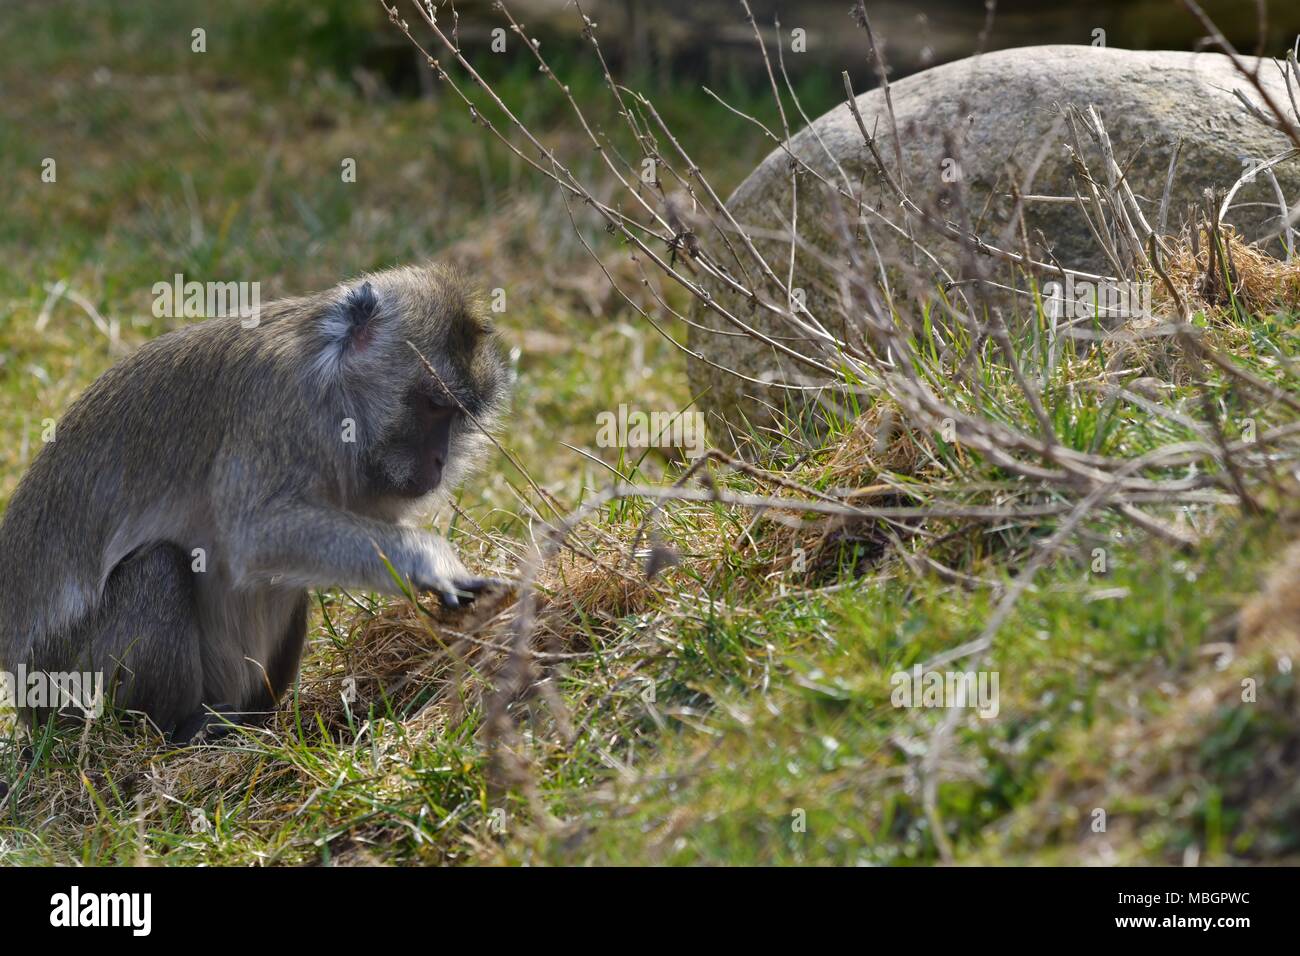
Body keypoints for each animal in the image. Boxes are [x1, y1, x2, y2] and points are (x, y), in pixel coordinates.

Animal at [0, 263, 513, 742]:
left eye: (458, 416)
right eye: (432, 406)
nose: (439, 460)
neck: (326, 372)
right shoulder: (277, 405)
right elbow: (254, 536)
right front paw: (428, 559)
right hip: (69, 685)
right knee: (159, 568)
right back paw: (176, 728)